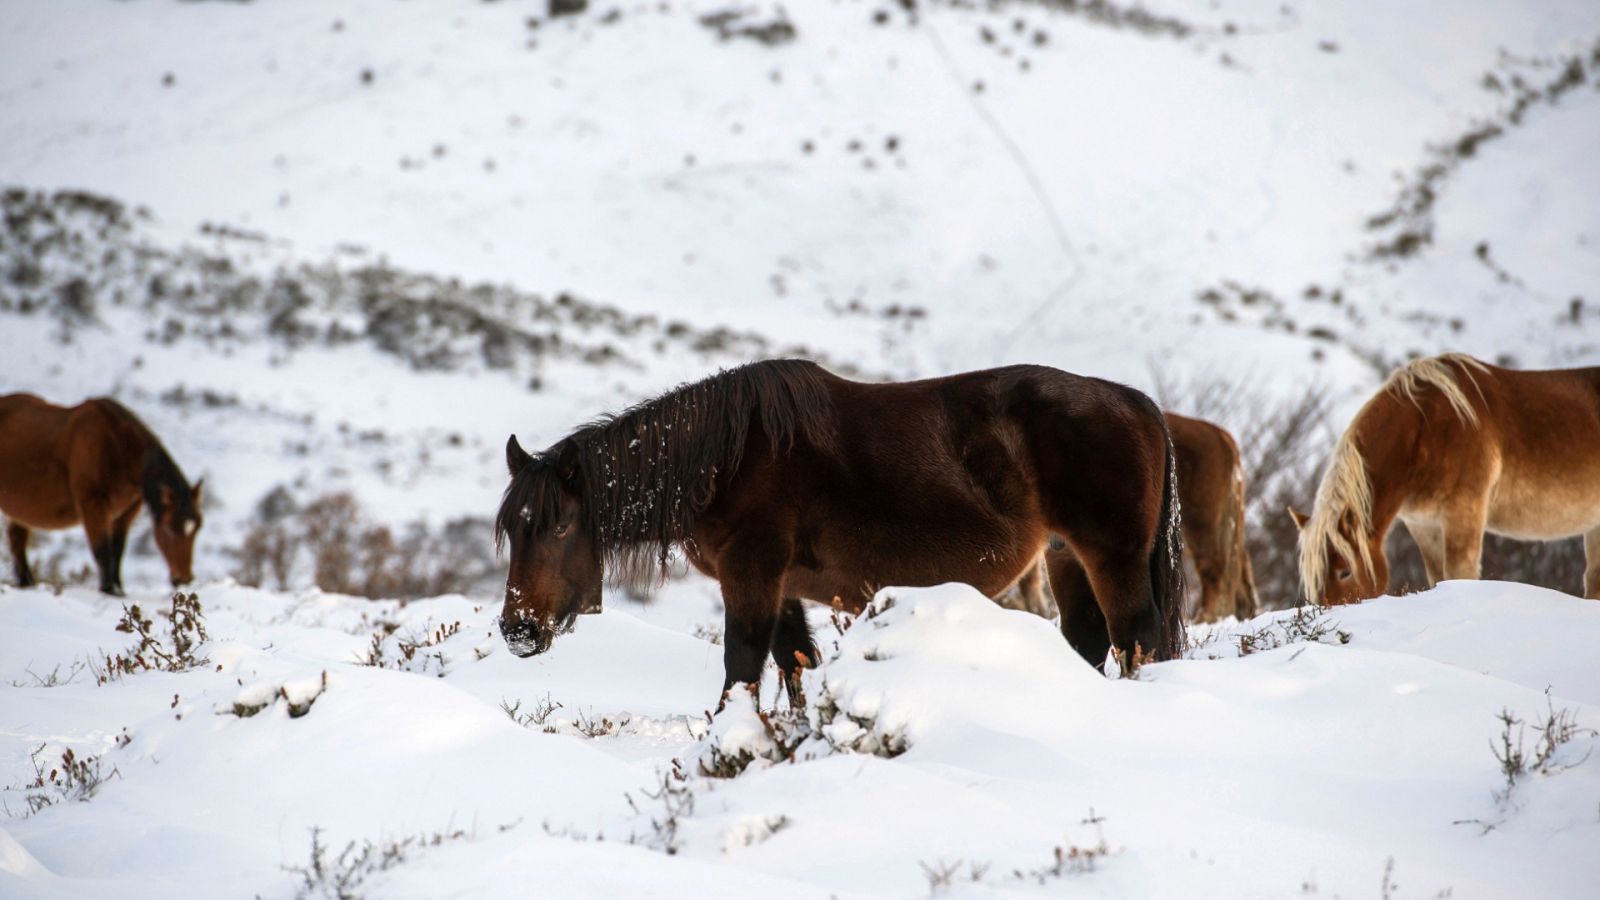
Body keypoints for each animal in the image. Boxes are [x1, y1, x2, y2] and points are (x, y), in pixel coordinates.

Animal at [0, 393, 203, 595]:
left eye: (196, 529)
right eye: (169, 528)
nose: (184, 579)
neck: (117, 446)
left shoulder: (126, 513)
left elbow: (117, 550)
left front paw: (118, 589)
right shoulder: (93, 506)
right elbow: (103, 551)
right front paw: (108, 590)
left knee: (17, 541)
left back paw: (27, 583)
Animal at [492, 357, 1184, 695]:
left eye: (558, 528)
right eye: (513, 532)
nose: (518, 630)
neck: (724, 459)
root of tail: (1137, 402)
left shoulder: (751, 575)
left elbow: (742, 667)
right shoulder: (782, 586)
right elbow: (794, 664)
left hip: (1113, 556)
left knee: (1136, 637)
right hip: (1067, 556)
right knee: (1091, 640)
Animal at [1292, 352, 1600, 602]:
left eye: (1344, 572)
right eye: (1311, 580)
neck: (1423, 430)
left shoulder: (1463, 513)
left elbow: (1459, 574)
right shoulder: (1423, 524)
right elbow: (1438, 577)